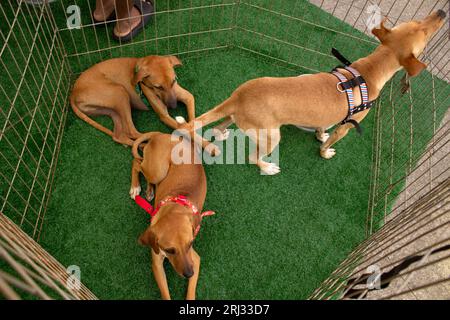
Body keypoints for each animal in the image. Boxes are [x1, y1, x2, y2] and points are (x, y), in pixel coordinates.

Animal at [181, 10, 444, 175]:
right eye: (424, 34)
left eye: (417, 22)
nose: (441, 12)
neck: (367, 71)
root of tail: (239, 97)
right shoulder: (347, 127)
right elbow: (328, 144)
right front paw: (325, 152)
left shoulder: (328, 117)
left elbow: (321, 128)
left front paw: (320, 135)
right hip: (272, 136)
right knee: (253, 157)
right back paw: (267, 167)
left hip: (241, 118)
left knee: (219, 124)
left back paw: (222, 132)